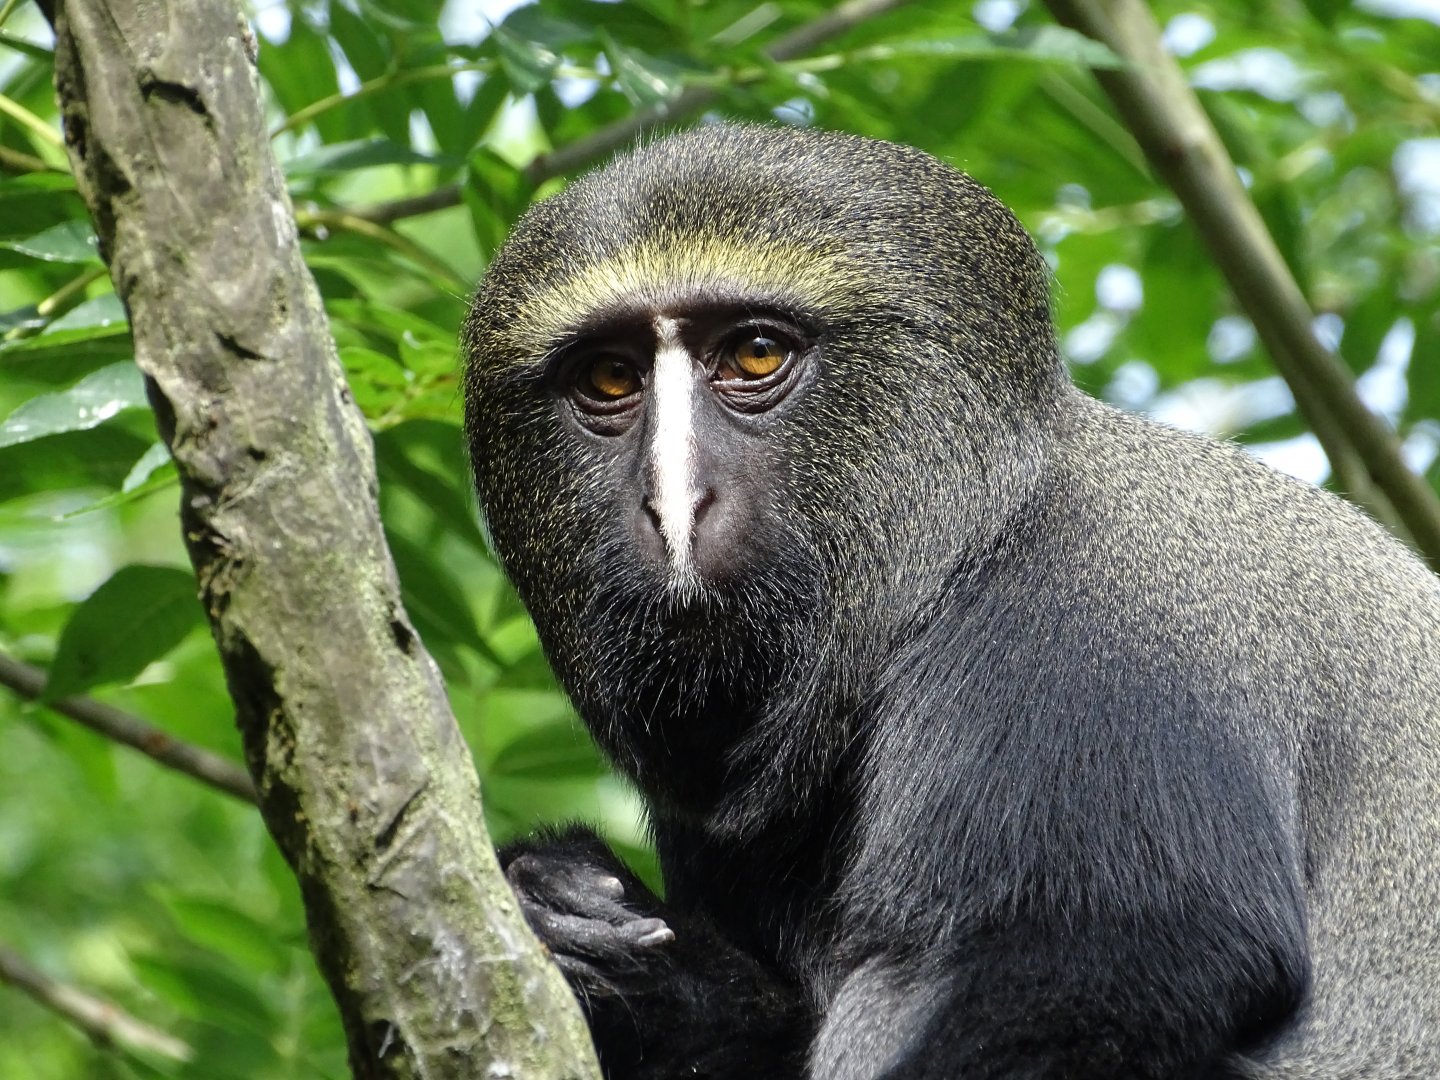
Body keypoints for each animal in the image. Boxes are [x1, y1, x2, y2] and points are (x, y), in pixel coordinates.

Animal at [462, 124, 1440, 1079]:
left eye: (754, 354)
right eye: (610, 380)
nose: (672, 507)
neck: (965, 545)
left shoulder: (1095, 632)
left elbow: (1118, 966)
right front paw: (564, 903)